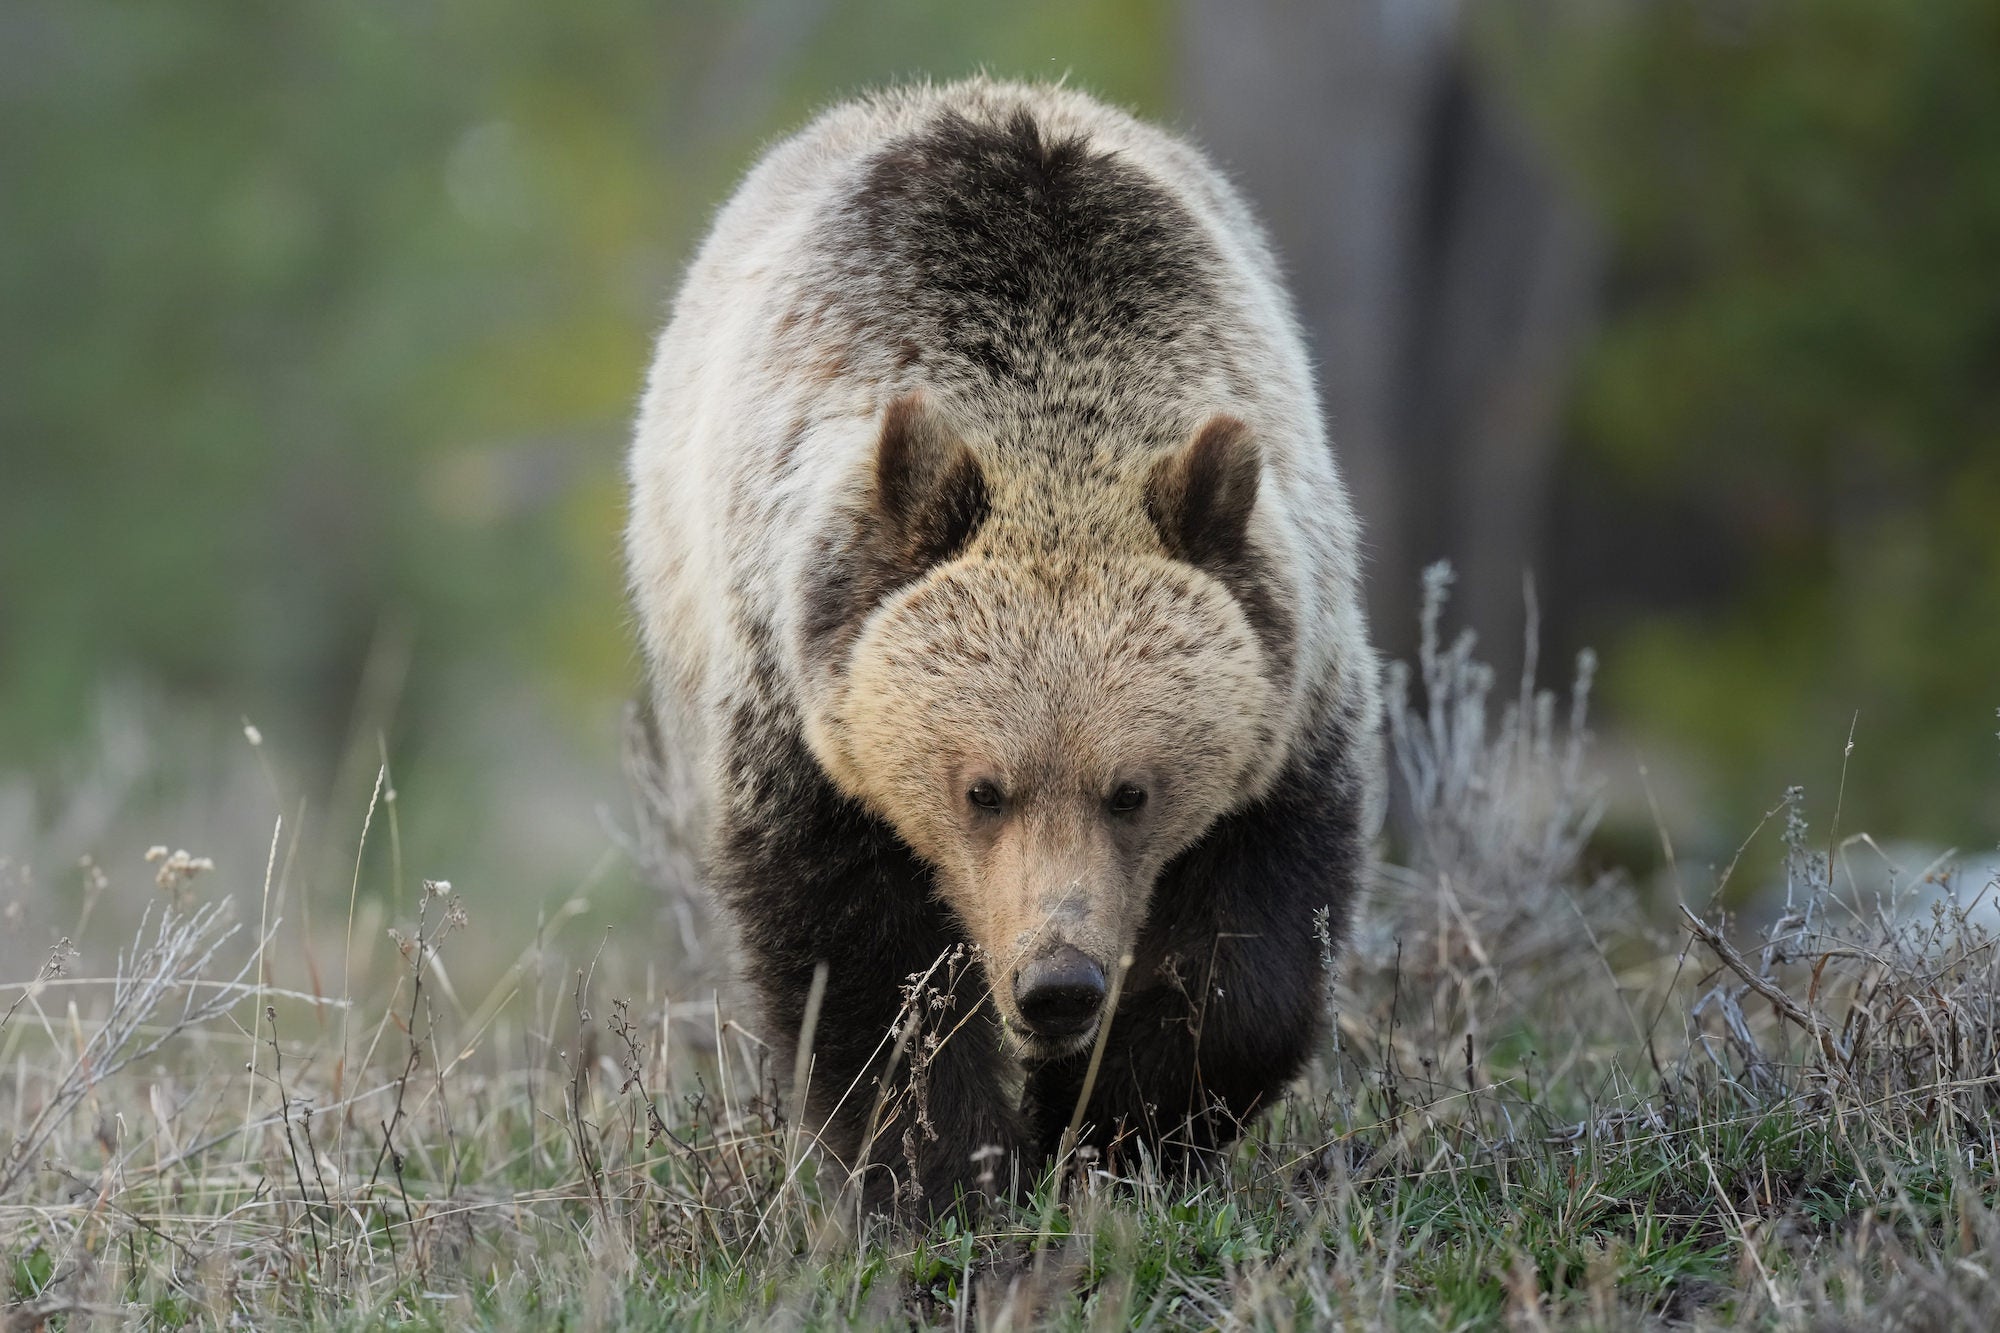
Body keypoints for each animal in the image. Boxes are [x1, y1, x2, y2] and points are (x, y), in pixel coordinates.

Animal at [625, 78, 1382, 1213]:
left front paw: (1117, 1129)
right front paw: (950, 1173)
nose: (1057, 983)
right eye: (982, 788)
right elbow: (860, 960)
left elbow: (1254, 958)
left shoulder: (1291, 688)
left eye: (1131, 789)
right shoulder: (802, 704)